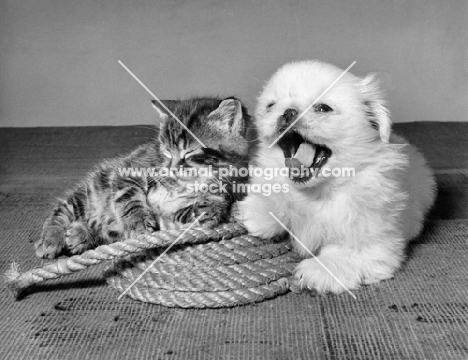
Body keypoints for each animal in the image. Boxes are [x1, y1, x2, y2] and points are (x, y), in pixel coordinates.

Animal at [34, 97, 250, 258]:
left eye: (189, 152)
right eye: (166, 151)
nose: (171, 169)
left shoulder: (172, 217)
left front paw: (211, 208)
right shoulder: (130, 168)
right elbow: (128, 196)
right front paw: (137, 222)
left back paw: (81, 235)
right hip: (92, 190)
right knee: (62, 209)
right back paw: (51, 239)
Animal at [239, 60, 436, 294]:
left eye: (323, 108)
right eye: (271, 105)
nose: (288, 112)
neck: (316, 192)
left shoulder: (373, 244)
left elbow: (345, 254)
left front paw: (319, 270)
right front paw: (260, 211)